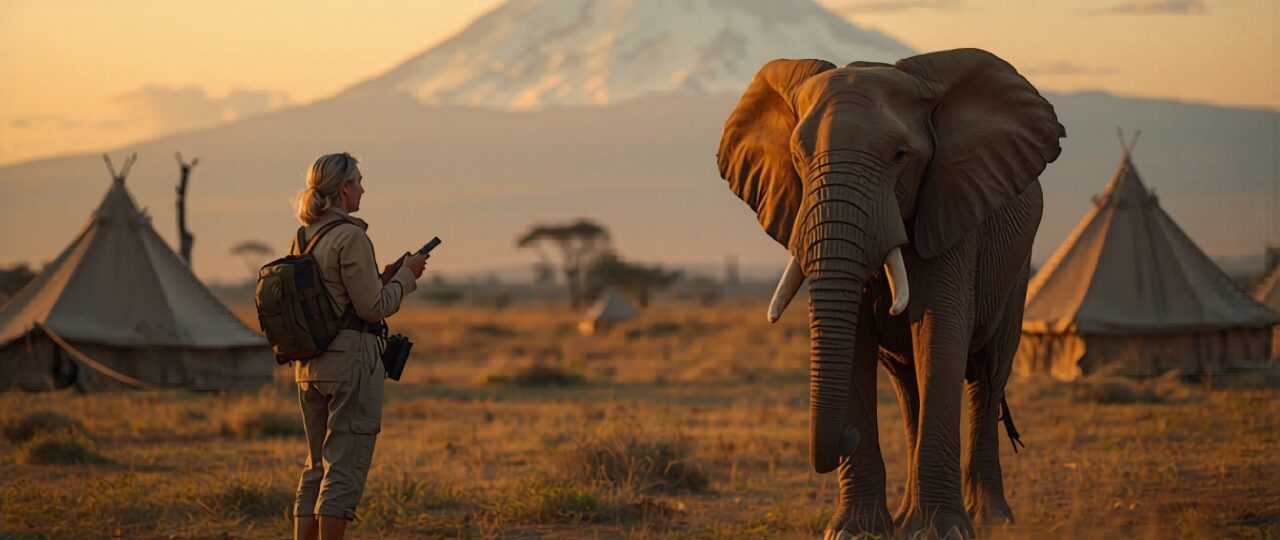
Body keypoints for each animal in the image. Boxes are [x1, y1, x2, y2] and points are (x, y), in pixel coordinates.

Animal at [716, 48, 1064, 538]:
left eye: (901, 156)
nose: (844, 437)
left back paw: (991, 518)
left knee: (989, 376)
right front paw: (853, 530)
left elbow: (940, 332)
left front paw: (944, 532)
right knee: (908, 386)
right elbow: (856, 344)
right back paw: (905, 518)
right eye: (799, 158)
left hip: (1017, 270)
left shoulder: (951, 208)